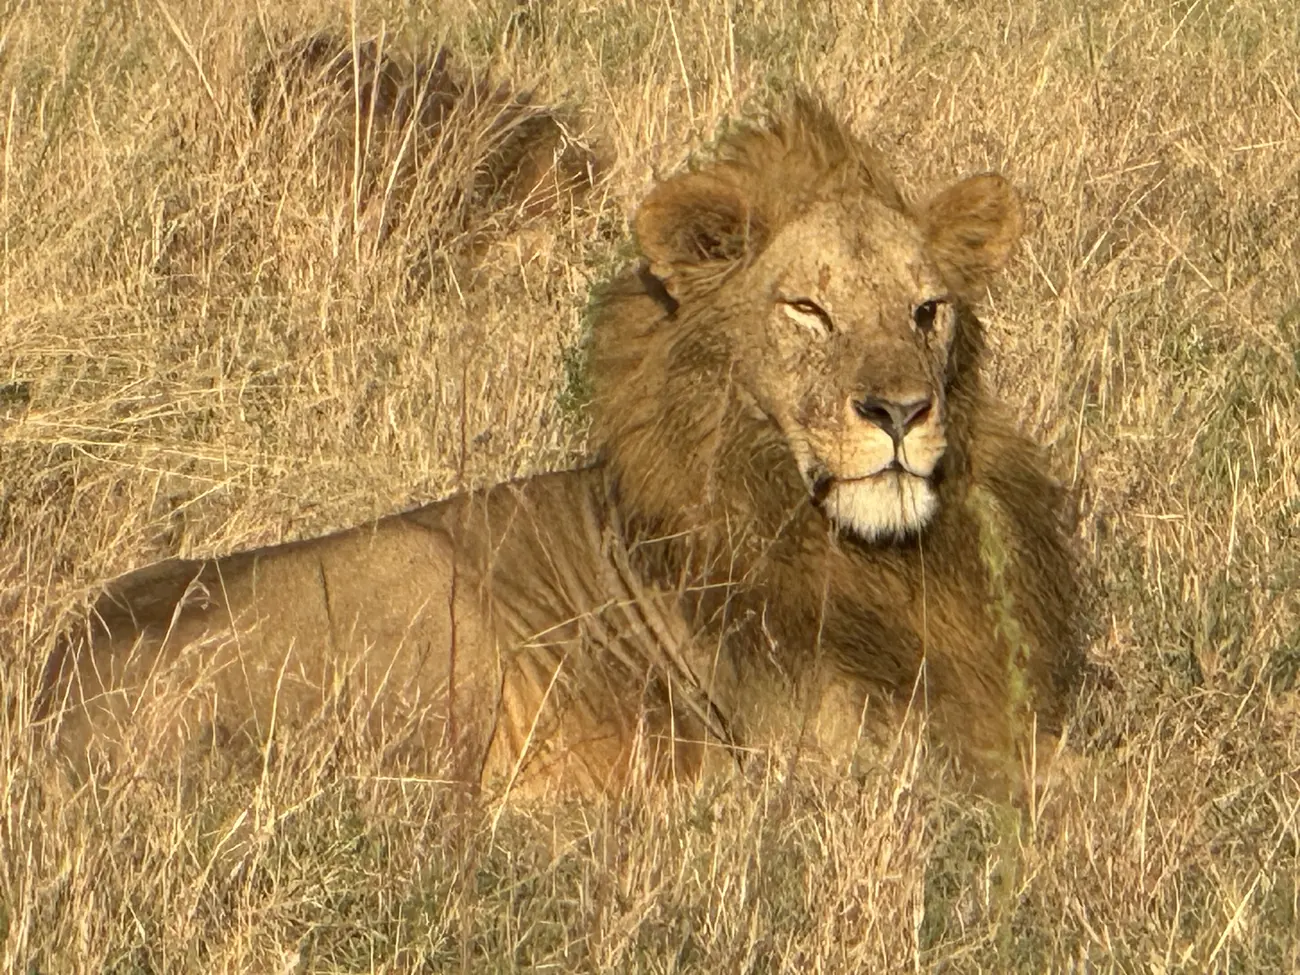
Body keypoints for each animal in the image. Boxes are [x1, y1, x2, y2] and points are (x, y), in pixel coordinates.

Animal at [38, 95, 1082, 798]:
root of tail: (53, 695)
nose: (900, 411)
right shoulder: (842, 753)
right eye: (808, 310)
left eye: (927, 309)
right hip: (431, 601)